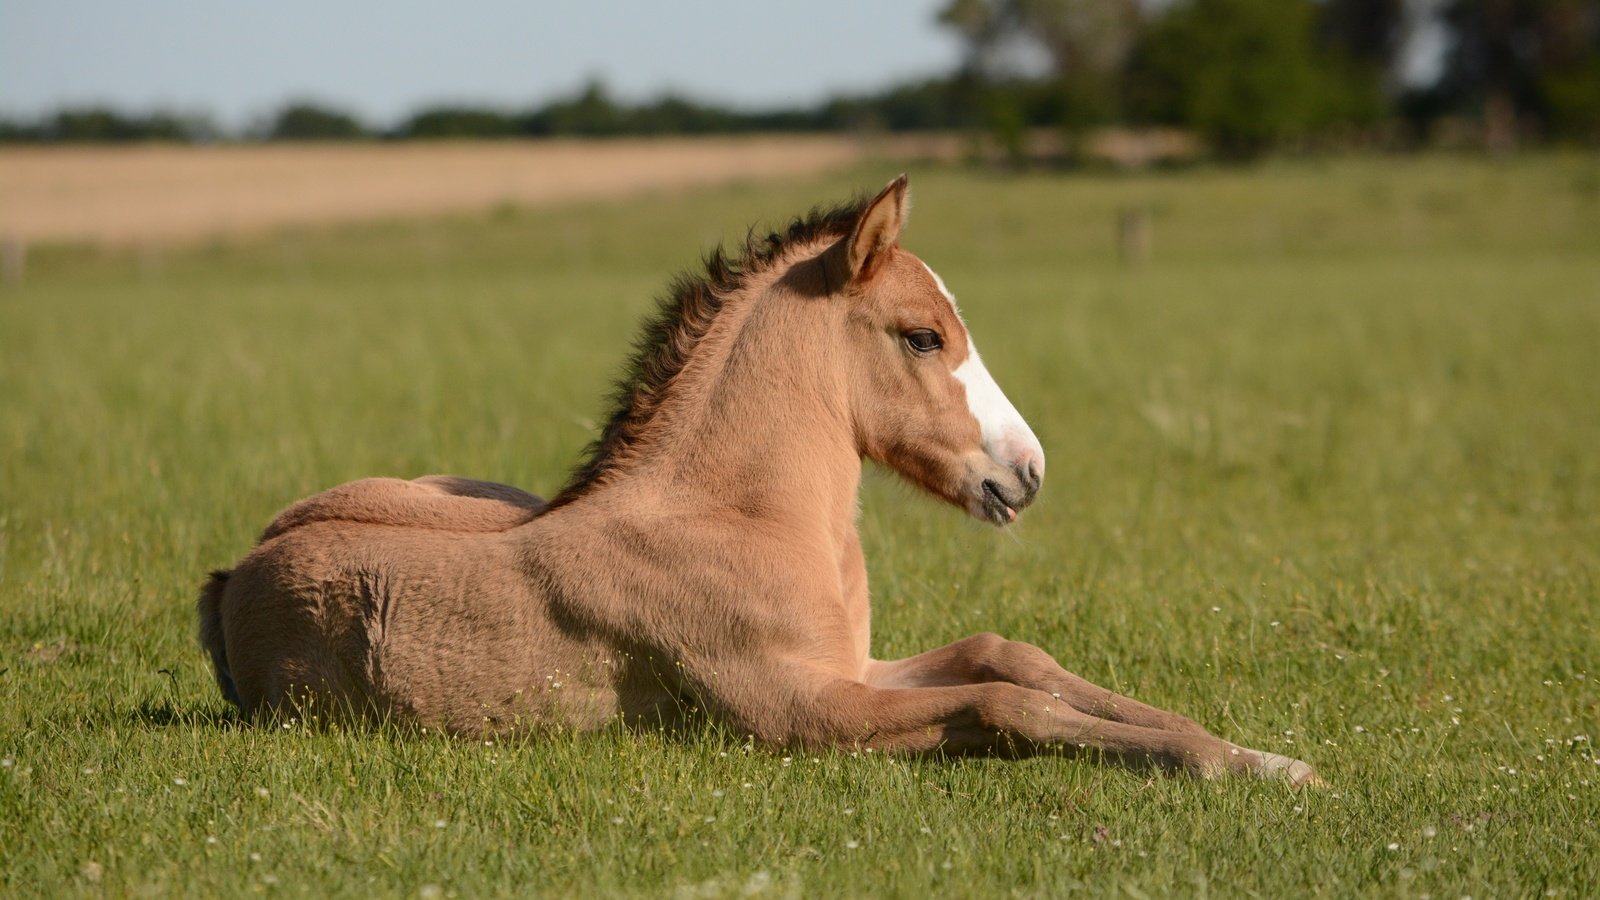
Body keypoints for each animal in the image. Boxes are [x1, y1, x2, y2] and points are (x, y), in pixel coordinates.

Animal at [200, 173, 1318, 778]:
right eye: (922, 335)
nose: (1026, 471)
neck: (739, 519)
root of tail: (231, 573)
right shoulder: (799, 711)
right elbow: (1007, 705)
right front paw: (1228, 766)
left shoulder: (852, 668)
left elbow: (1012, 657)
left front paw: (1254, 754)